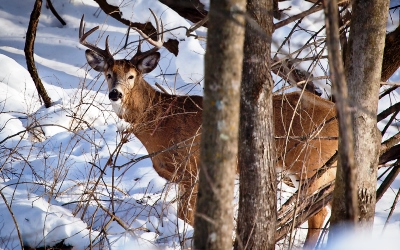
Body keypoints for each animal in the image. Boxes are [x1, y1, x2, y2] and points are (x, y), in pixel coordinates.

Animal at [78, 11, 338, 248]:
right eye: (108, 74)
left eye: (131, 76)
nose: (115, 94)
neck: (161, 119)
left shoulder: (192, 167)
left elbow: (187, 214)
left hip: (309, 164)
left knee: (317, 213)